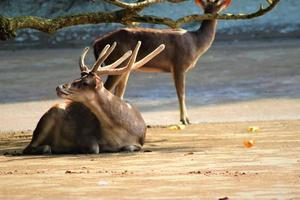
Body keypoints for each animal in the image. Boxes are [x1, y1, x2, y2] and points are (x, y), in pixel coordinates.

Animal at [22, 41, 165, 155]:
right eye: (77, 77)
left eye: (85, 82)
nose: (59, 87)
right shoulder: (84, 133)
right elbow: (94, 148)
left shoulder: (139, 142)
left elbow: (128, 148)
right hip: (49, 117)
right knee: (31, 148)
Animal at [93, 0, 232, 125]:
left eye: (216, 7)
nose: (214, 14)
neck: (196, 43)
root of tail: (97, 43)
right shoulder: (179, 64)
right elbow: (181, 93)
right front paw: (184, 120)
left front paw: (185, 119)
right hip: (117, 62)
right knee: (106, 89)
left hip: (123, 68)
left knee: (117, 93)